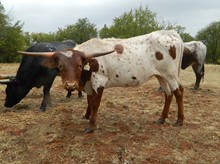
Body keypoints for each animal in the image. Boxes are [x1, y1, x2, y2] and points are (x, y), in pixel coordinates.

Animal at [18, 29, 185, 133]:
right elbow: (89, 100)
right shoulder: (89, 83)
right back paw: (162, 118)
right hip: (161, 76)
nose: (70, 85)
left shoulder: (99, 81)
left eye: (79, 65)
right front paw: (87, 116)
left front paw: (91, 126)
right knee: (168, 94)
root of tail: (171, 33)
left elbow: (95, 103)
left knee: (178, 92)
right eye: (60, 67)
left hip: (170, 75)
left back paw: (179, 120)